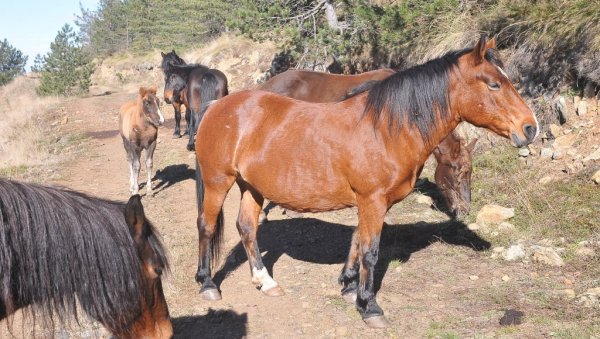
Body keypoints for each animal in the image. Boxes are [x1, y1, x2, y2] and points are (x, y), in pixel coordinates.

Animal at [193, 37, 540, 330]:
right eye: (494, 83)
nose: (530, 127)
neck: (386, 128)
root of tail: (217, 107)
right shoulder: (372, 200)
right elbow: (370, 251)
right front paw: (370, 306)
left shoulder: (369, 202)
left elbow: (357, 243)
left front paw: (349, 286)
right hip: (218, 182)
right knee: (207, 226)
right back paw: (208, 284)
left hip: (252, 187)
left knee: (247, 228)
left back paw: (266, 282)